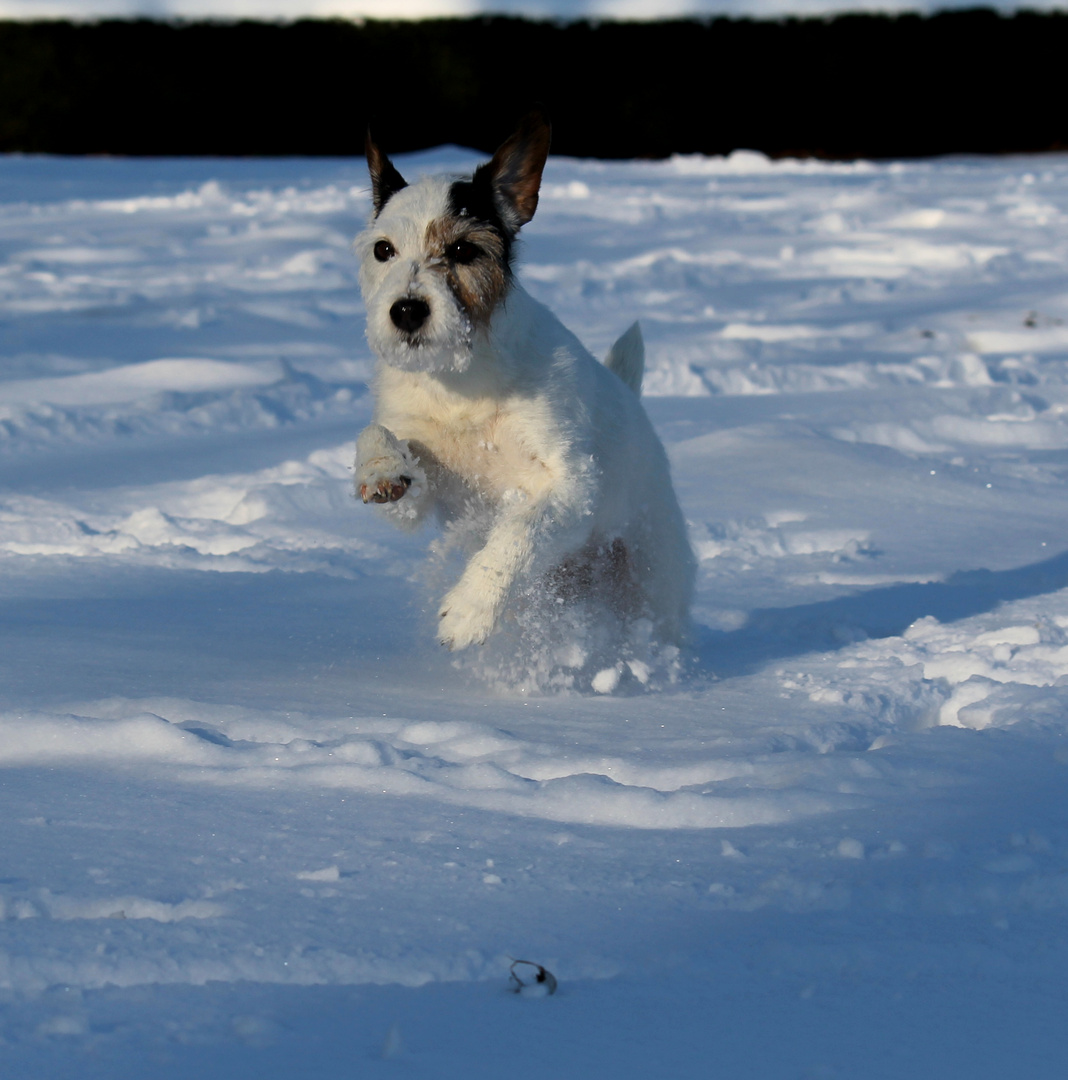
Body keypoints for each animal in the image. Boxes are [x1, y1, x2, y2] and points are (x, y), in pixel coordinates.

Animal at [354, 109, 695, 652]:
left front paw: (469, 609)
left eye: (463, 248)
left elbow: (519, 533)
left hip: (651, 580)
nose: (406, 311)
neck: (461, 380)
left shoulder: (570, 487)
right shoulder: (421, 485)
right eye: (383, 249)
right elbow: (377, 438)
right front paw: (379, 468)